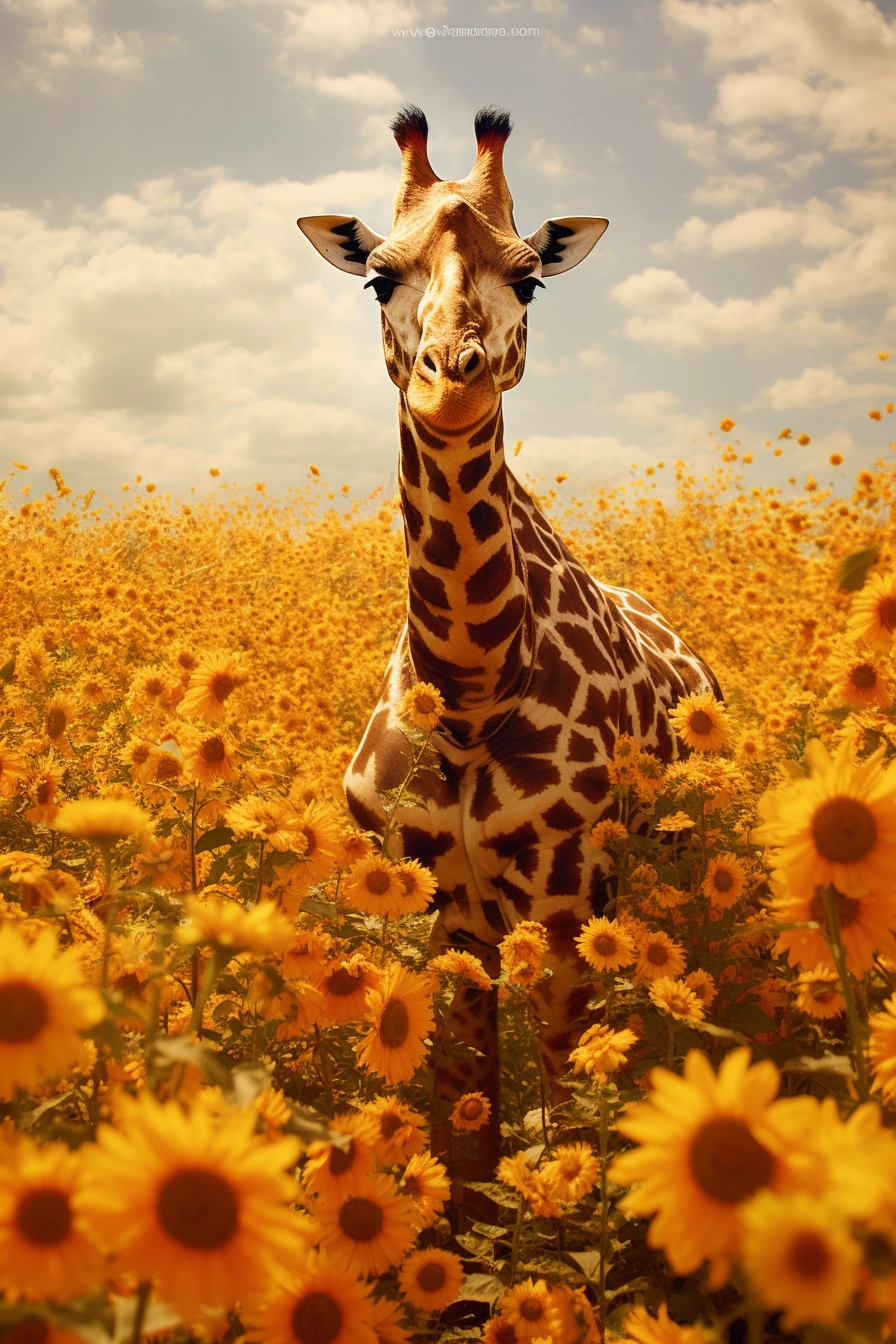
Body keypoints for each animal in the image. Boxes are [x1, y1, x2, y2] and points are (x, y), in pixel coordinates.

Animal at [299, 104, 720, 1198]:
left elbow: (573, 1107)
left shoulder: (567, 903)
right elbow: (464, 1133)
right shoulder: (439, 909)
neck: (475, 684)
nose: (453, 381)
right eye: (378, 277)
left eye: (528, 277)